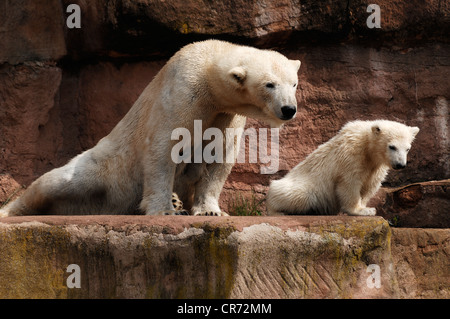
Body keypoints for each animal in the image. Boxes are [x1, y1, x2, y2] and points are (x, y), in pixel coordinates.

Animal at [0, 40, 302, 218]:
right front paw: (164, 211)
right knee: (58, 182)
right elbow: (163, 149)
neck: (206, 64)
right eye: (269, 84)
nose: (289, 109)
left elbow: (219, 157)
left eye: (294, 82)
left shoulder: (226, 114)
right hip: (106, 167)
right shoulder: (183, 93)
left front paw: (209, 211)